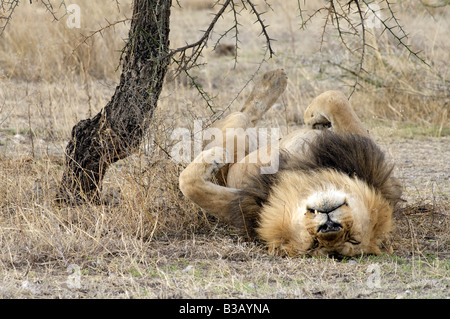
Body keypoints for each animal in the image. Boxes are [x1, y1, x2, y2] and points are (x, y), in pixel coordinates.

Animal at [178, 69, 402, 258]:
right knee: (244, 115)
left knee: (243, 115)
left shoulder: (248, 201)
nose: (329, 226)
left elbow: (190, 185)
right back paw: (273, 78)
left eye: (352, 239)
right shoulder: (360, 151)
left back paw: (270, 83)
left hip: (237, 137)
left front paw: (214, 156)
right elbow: (335, 98)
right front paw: (314, 119)